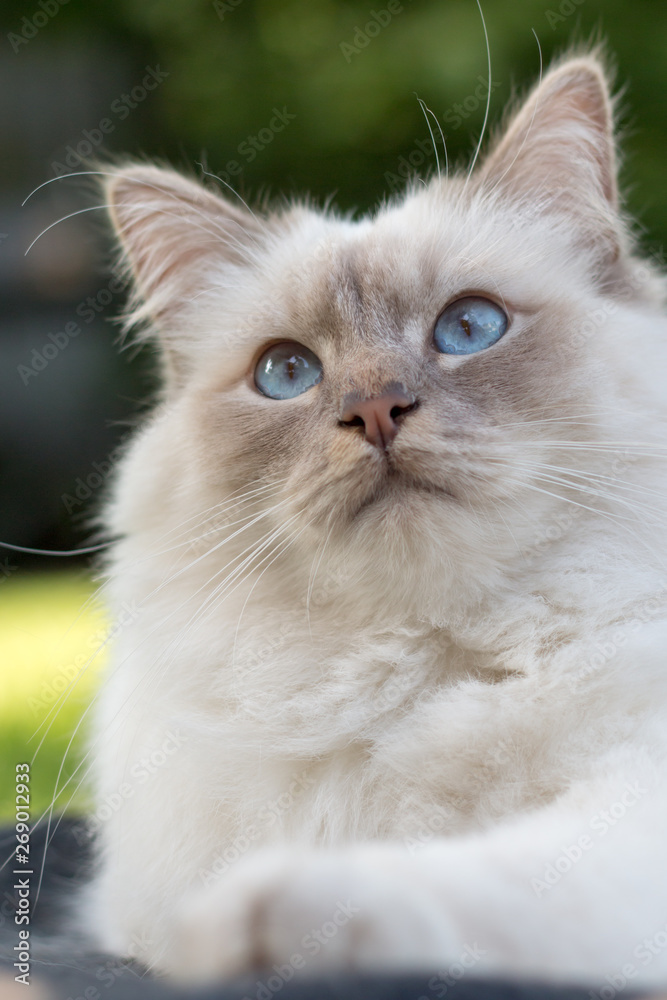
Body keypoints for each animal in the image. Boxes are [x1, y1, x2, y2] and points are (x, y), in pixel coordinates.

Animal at [82, 50, 667, 988]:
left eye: (468, 326)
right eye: (287, 373)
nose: (376, 411)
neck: (416, 669)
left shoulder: (629, 814)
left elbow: (462, 884)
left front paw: (253, 924)